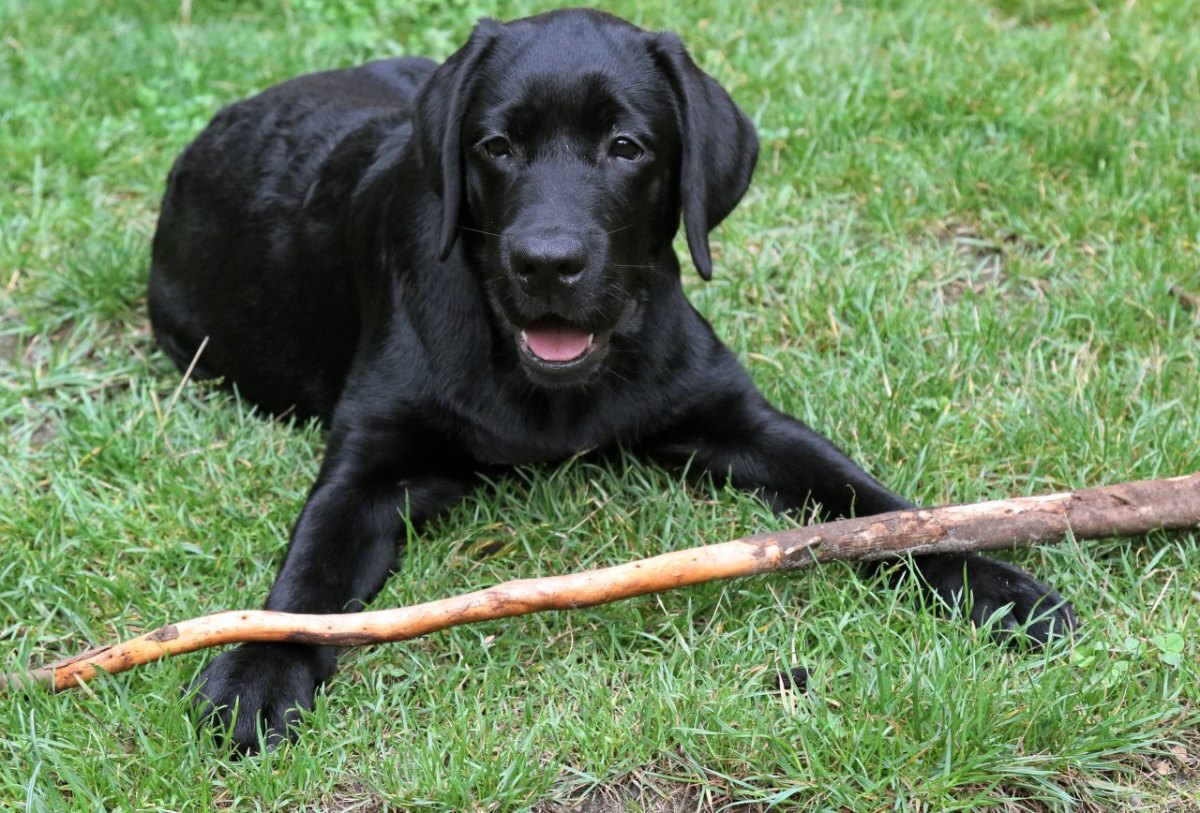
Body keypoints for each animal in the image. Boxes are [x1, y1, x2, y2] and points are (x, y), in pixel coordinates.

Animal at [145, 7, 1075, 757]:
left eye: (625, 147)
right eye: (496, 146)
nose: (546, 262)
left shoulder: (738, 416)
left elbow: (875, 508)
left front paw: (996, 585)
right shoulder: (367, 465)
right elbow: (308, 575)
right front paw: (257, 672)